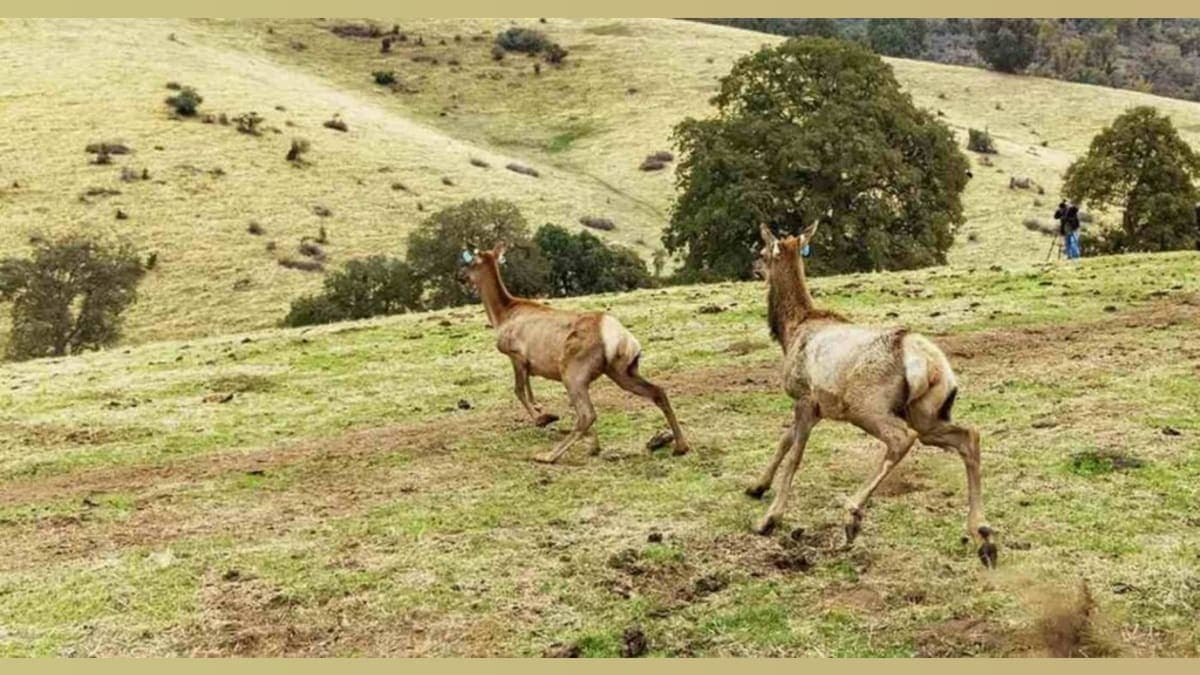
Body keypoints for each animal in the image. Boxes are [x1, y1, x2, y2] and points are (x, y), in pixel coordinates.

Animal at [457, 242, 691, 464]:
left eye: (470, 262)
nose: (459, 276)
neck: (501, 316)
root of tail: (621, 337)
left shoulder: (515, 353)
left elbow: (519, 390)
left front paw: (542, 418)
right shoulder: (529, 363)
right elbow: (530, 390)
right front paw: (541, 409)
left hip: (572, 370)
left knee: (587, 414)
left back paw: (549, 456)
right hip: (622, 370)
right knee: (657, 391)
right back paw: (679, 446)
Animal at [748, 218, 997, 567]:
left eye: (762, 251)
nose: (753, 268)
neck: (790, 332)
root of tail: (929, 365)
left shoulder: (806, 397)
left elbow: (795, 454)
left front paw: (770, 518)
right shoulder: (816, 406)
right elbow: (785, 441)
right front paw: (756, 486)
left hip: (867, 405)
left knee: (901, 438)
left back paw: (852, 514)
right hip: (927, 413)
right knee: (969, 435)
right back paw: (983, 535)